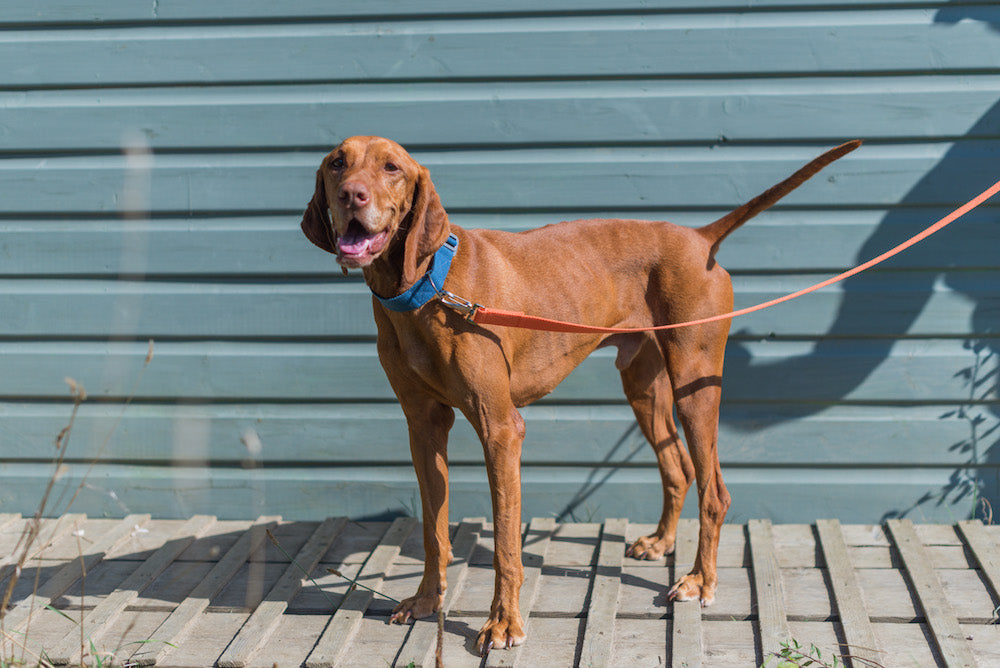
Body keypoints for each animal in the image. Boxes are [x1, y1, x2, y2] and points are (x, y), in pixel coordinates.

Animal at [296, 136, 860, 652]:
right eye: (337, 162)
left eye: (391, 167)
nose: (350, 195)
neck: (424, 287)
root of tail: (698, 239)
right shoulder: (423, 427)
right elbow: (434, 534)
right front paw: (425, 601)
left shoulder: (501, 429)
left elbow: (506, 543)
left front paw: (503, 623)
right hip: (644, 388)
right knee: (678, 467)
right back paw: (662, 541)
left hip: (694, 383)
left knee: (714, 490)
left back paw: (700, 581)